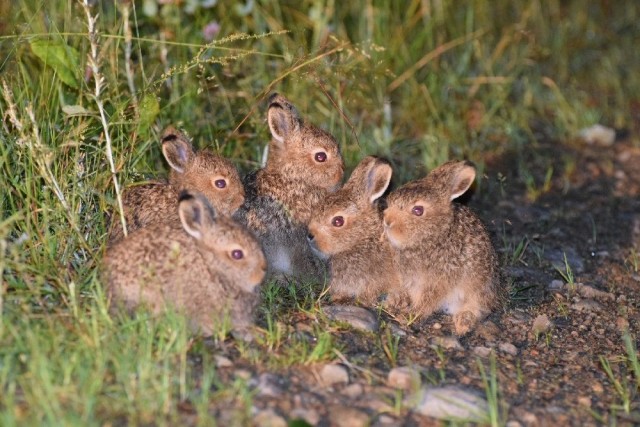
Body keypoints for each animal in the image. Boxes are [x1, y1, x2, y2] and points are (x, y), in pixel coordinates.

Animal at [382, 160, 503, 335]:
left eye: (418, 210)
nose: (387, 221)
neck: (435, 235)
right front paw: (397, 302)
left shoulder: (439, 281)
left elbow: (427, 301)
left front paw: (410, 315)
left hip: (479, 287)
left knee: (477, 308)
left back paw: (463, 323)